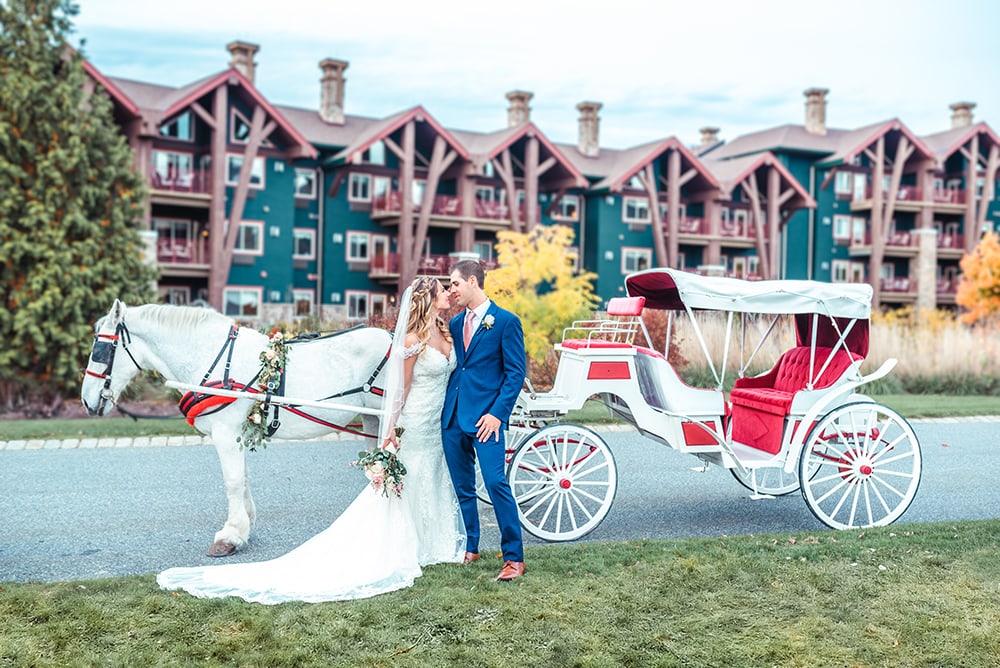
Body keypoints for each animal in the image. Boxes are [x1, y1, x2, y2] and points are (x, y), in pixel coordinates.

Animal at [80, 300, 392, 556]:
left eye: (100, 349)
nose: (85, 400)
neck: (212, 359)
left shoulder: (225, 433)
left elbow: (231, 480)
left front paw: (231, 536)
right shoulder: (237, 434)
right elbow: (242, 478)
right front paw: (245, 525)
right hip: (373, 420)